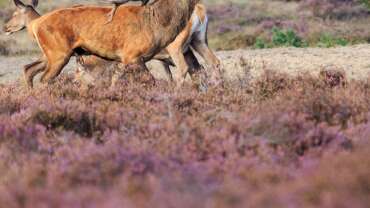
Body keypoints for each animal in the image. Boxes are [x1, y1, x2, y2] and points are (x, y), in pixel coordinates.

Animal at [2, 0, 199, 88]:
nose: (5, 27)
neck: (156, 25)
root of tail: (36, 24)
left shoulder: (123, 60)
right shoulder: (132, 55)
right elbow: (150, 81)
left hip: (51, 54)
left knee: (29, 69)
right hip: (58, 53)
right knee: (44, 78)